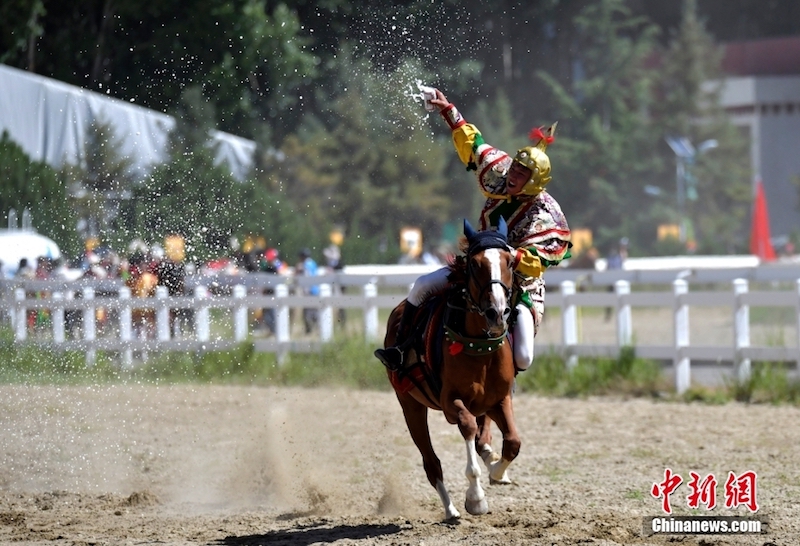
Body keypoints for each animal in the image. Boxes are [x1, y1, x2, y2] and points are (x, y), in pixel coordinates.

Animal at [382, 217, 520, 520]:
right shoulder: (449, 402)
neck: (479, 349)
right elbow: (467, 426)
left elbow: (513, 442)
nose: (497, 313)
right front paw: (476, 498)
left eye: (509, 261)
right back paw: (450, 509)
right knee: (431, 463)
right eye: (475, 264)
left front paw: (496, 471)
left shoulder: (499, 399)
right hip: (410, 404)